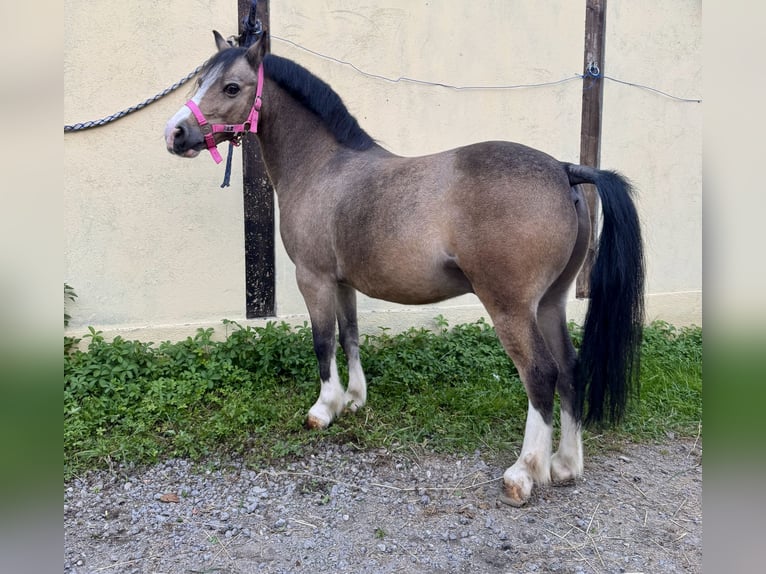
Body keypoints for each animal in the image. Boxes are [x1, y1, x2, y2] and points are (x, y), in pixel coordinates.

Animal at [164, 31, 645, 507]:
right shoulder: (343, 282)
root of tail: (565, 171)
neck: (323, 166)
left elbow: (323, 343)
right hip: (549, 303)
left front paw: (323, 409)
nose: (175, 132)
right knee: (570, 369)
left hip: (511, 308)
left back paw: (524, 473)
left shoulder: (313, 278)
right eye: (200, 82)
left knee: (541, 375)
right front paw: (353, 400)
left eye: (231, 87)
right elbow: (350, 336)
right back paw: (565, 464)